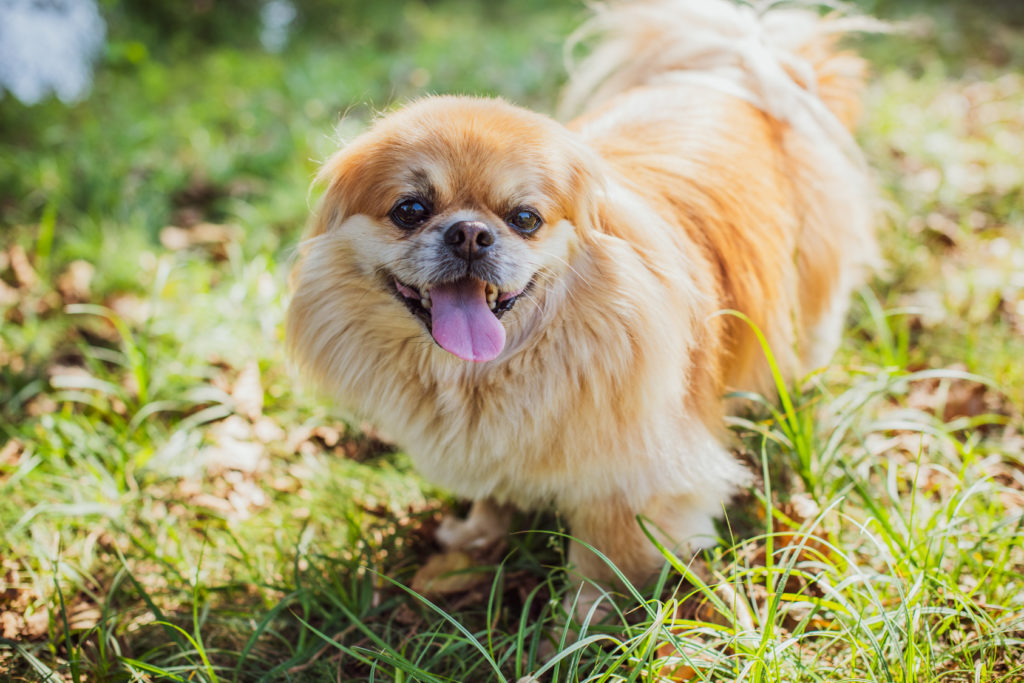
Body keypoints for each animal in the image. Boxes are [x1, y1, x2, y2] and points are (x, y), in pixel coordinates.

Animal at [288, 0, 880, 610]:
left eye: (525, 218)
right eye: (410, 210)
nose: (471, 233)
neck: (484, 377)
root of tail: (739, 72)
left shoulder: (633, 471)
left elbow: (604, 543)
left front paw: (586, 610)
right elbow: (493, 496)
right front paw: (476, 537)